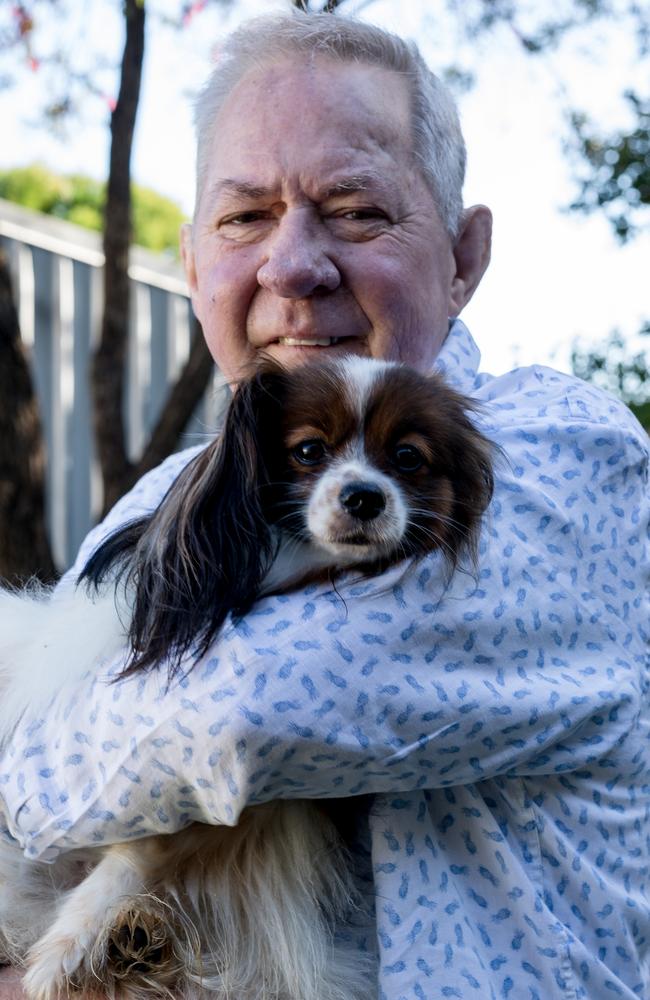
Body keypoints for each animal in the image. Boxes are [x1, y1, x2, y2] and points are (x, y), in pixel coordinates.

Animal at [0, 356, 488, 996]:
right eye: (308, 451)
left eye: (408, 457)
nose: (364, 497)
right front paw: (67, 950)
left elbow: (134, 854)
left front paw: (70, 948)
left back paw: (136, 943)